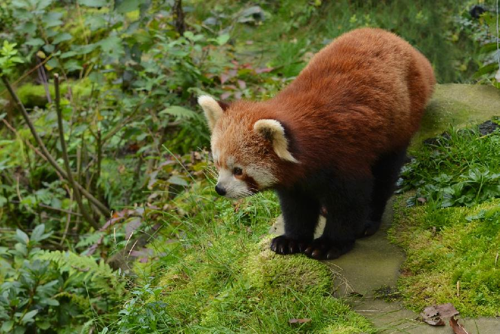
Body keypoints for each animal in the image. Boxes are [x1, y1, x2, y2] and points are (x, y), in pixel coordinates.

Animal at [197, 27, 436, 260]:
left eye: (238, 170)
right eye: (217, 164)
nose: (220, 189)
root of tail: (400, 41)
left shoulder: (346, 154)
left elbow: (349, 202)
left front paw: (329, 244)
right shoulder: (295, 180)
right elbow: (296, 208)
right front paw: (291, 239)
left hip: (398, 125)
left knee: (384, 176)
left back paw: (369, 220)